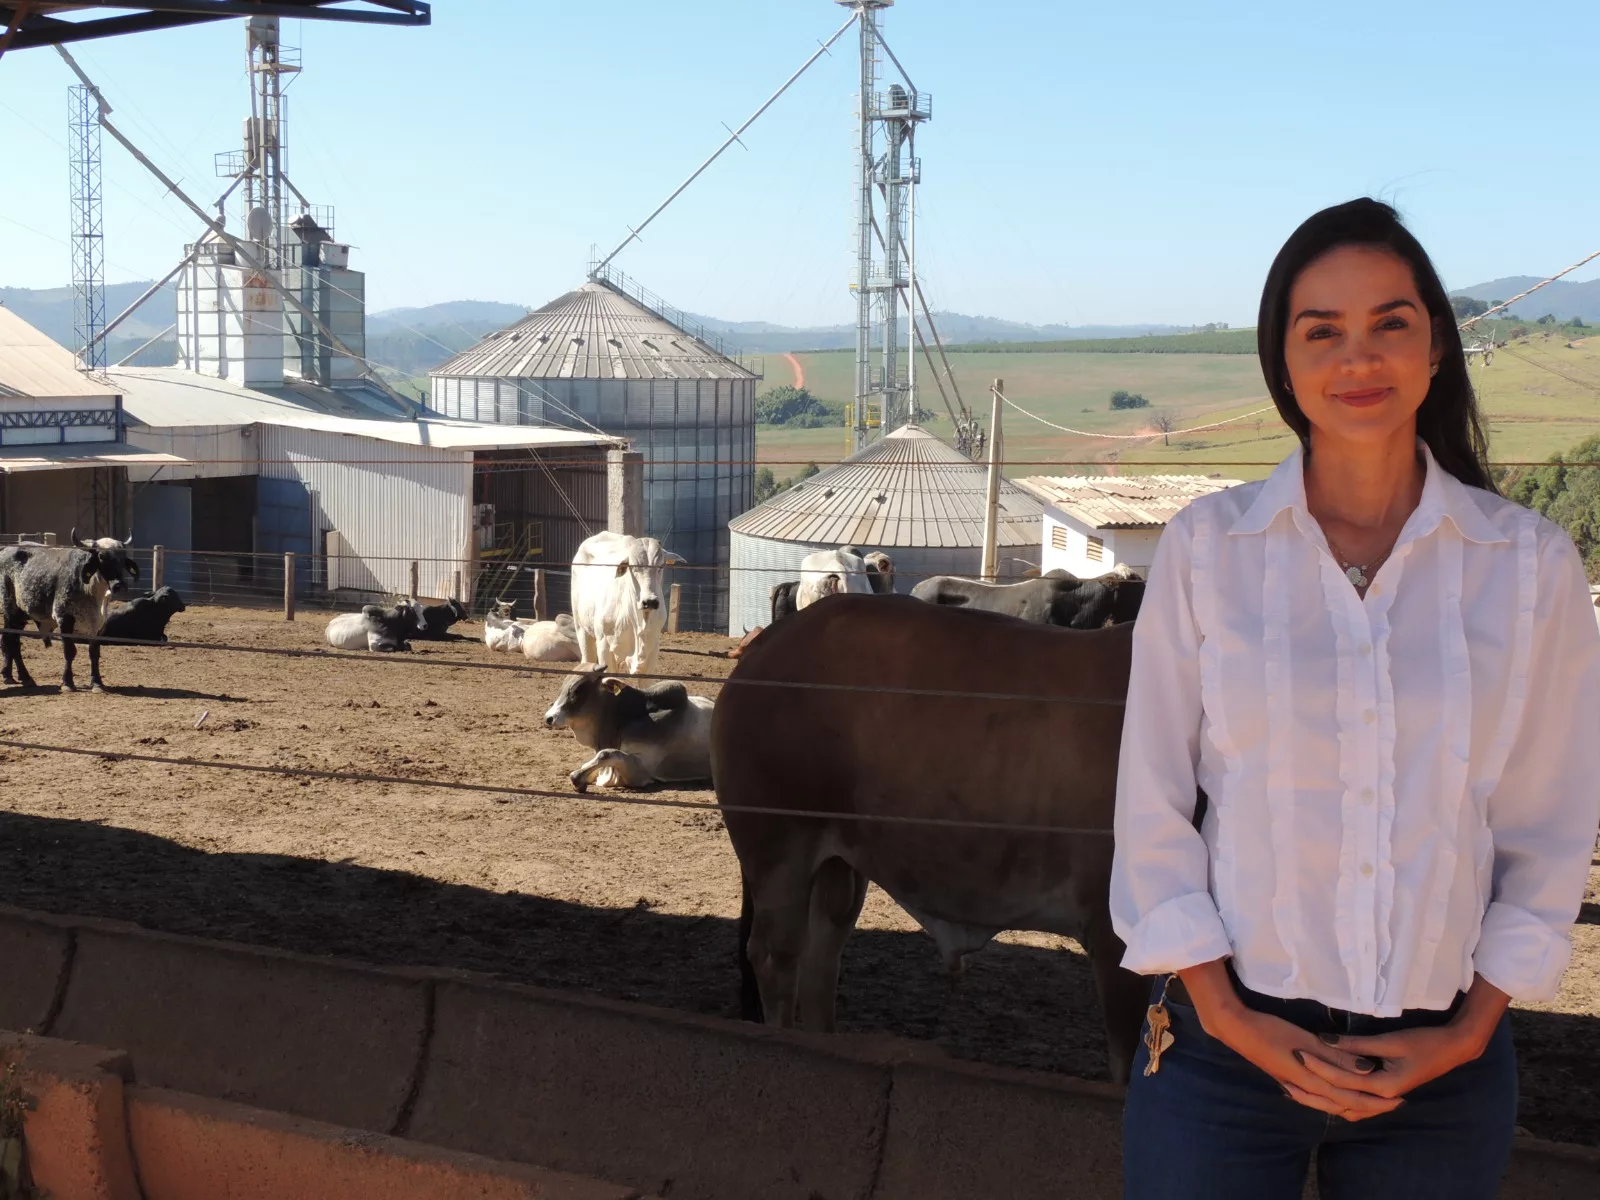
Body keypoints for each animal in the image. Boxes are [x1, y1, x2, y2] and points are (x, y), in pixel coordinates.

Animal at [0, 531, 139, 691]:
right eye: (101, 556)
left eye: (122, 558)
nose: (119, 585)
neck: (90, 590)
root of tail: (5, 550)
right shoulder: (64, 619)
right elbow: (70, 651)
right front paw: (67, 682)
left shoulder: (98, 625)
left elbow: (94, 653)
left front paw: (97, 683)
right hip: (11, 612)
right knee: (11, 641)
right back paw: (19, 676)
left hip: (21, 616)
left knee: (12, 641)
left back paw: (15, 676)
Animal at [569, 534, 681, 678]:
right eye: (632, 566)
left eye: (661, 566)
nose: (649, 601)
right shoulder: (604, 646)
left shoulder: (653, 649)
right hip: (581, 629)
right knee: (586, 659)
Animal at [713, 598, 1152, 1088]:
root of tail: (770, 640)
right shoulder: (1115, 936)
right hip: (779, 848)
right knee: (777, 958)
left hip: (839, 865)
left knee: (819, 963)